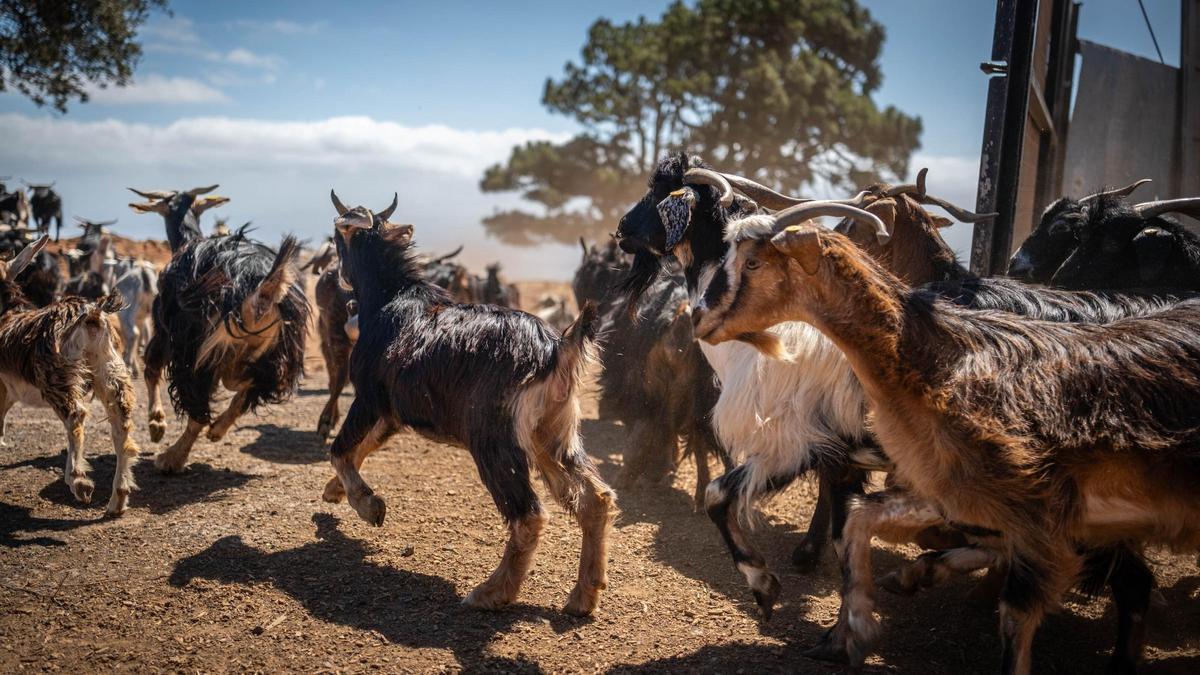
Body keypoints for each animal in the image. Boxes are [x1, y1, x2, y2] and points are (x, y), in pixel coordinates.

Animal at [0, 236, 139, 515]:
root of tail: (91, 313)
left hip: (56, 376)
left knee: (76, 415)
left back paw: (78, 481)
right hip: (110, 369)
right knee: (121, 420)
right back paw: (118, 498)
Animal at [129, 185, 308, 472]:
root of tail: (264, 290)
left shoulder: (166, 332)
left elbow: (152, 367)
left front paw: (156, 424)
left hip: (197, 350)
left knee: (199, 405)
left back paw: (172, 458)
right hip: (276, 351)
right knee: (252, 384)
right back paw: (218, 429)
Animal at [324, 190, 614, 616]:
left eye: (336, 239)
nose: (338, 275)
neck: (390, 297)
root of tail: (556, 348)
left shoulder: (369, 398)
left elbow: (341, 448)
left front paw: (368, 505)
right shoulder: (394, 413)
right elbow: (363, 446)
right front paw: (335, 491)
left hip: (493, 440)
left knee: (528, 515)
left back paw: (492, 592)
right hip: (552, 436)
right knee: (595, 499)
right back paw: (583, 595)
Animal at [694, 206, 1200, 674]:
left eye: (753, 262)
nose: (698, 315)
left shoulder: (804, 445)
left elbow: (731, 498)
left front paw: (770, 590)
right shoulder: (937, 481)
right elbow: (852, 525)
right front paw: (849, 628)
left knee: (1133, 583)